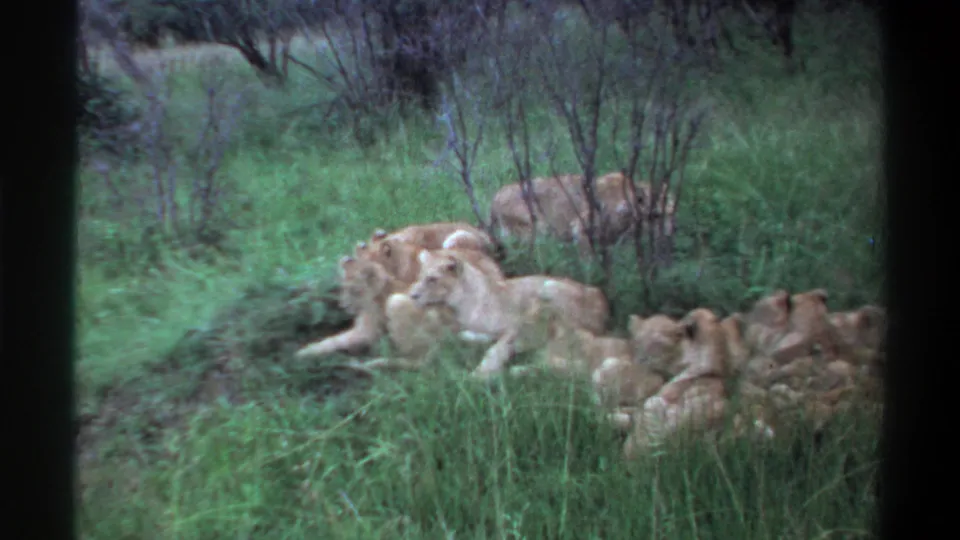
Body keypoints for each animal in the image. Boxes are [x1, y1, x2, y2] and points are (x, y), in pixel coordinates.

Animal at [408, 249, 610, 378]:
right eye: (419, 277)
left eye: (432, 279)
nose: (412, 296)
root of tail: (602, 300)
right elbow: (473, 335)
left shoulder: (514, 326)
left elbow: (494, 351)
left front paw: (480, 375)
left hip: (549, 291)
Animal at [489, 172, 676, 256]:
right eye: (656, 216)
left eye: (671, 213)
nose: (668, 235)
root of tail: (495, 197)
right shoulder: (581, 228)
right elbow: (589, 260)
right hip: (538, 229)